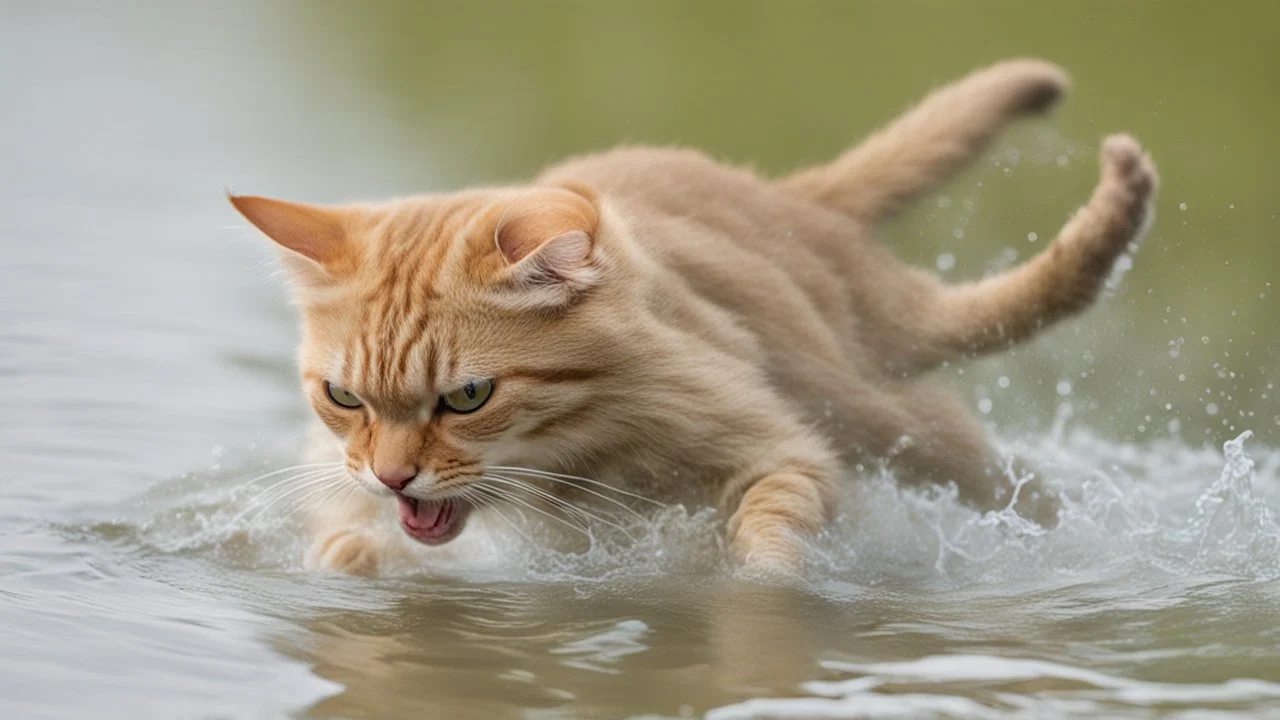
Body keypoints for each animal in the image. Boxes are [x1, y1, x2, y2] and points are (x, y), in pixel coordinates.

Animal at [230, 58, 1162, 573]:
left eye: (467, 398)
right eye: (344, 399)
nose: (393, 479)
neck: (566, 464)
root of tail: (783, 198)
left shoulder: (787, 452)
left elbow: (769, 549)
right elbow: (344, 547)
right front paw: (358, 559)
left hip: (885, 402)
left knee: (1024, 401)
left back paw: (1119, 203)